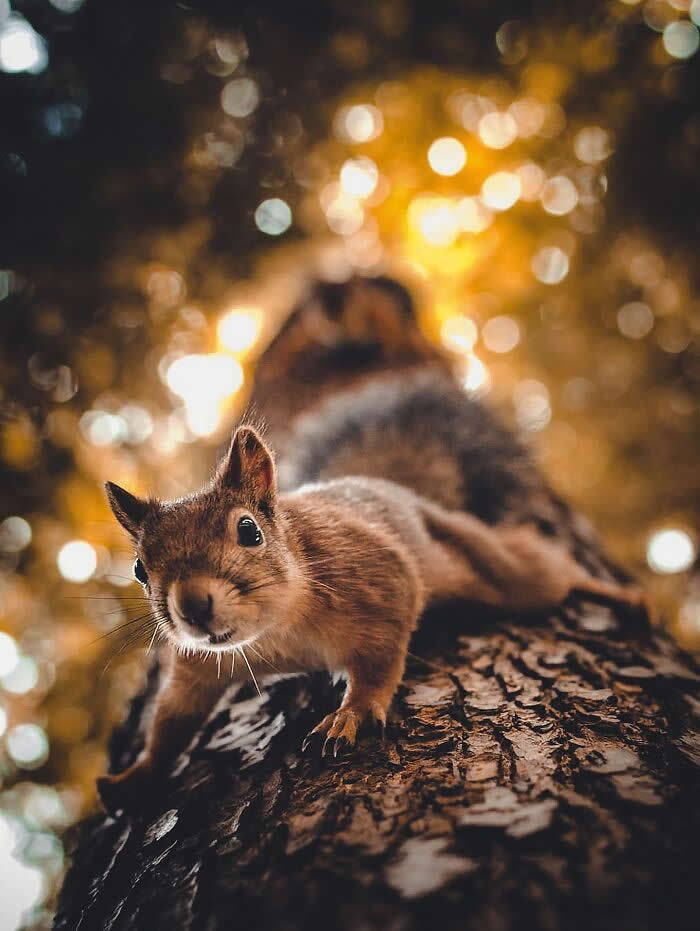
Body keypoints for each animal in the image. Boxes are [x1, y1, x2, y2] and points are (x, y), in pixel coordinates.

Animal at [98, 424, 645, 815]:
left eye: (249, 531)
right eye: (140, 569)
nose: (192, 607)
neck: (275, 634)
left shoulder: (381, 582)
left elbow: (379, 662)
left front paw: (353, 712)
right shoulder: (200, 664)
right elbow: (173, 718)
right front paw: (136, 778)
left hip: (502, 571)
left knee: (548, 570)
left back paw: (617, 594)